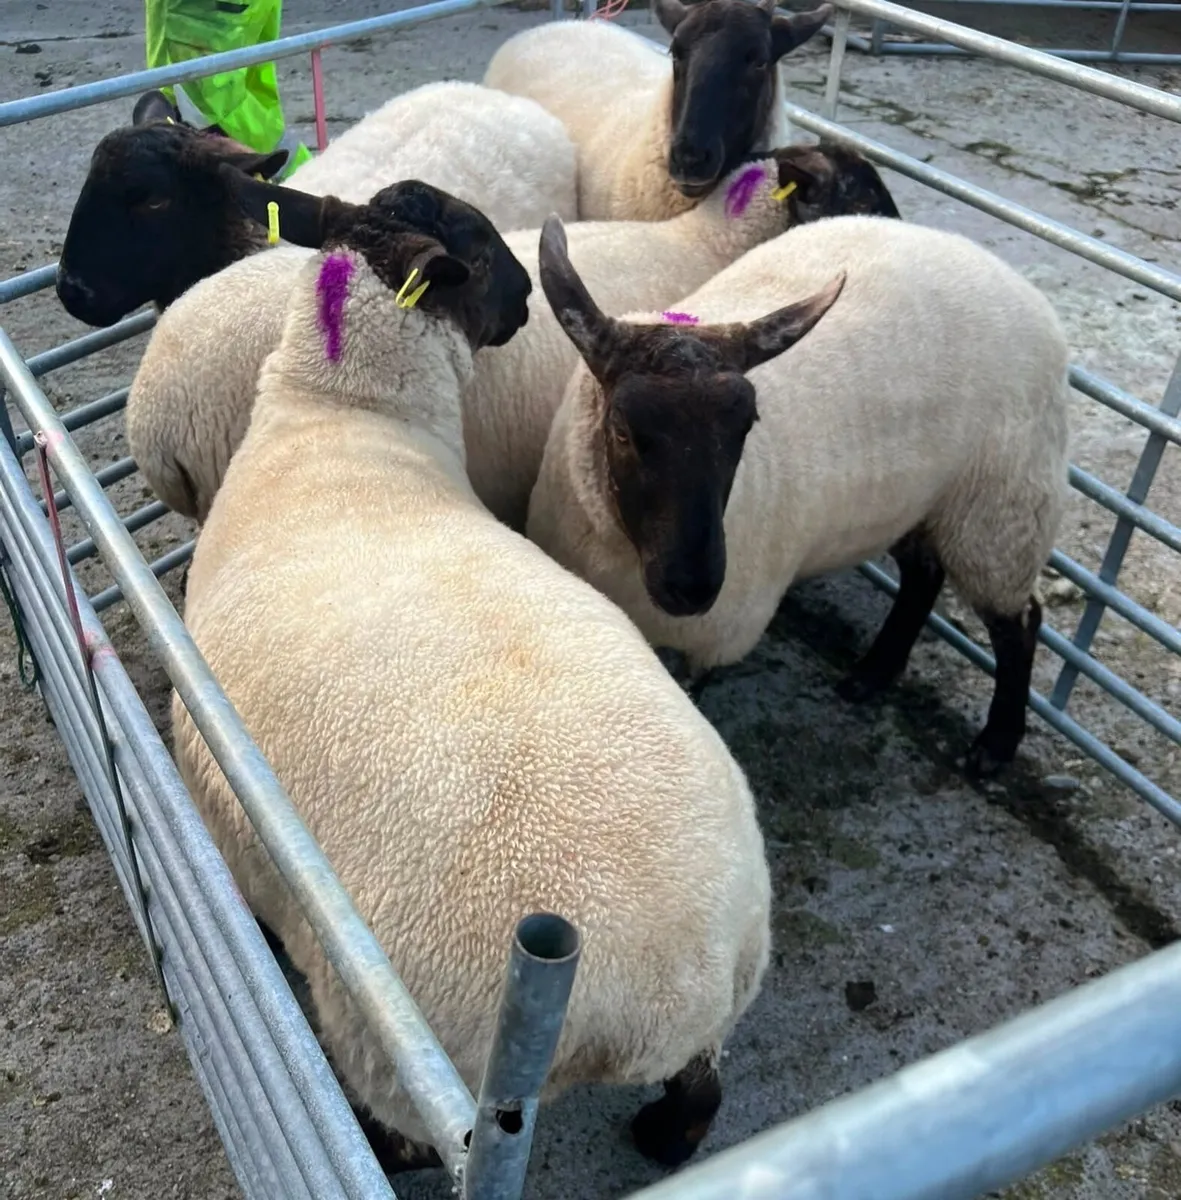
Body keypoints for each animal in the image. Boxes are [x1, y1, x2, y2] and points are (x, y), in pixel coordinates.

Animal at [171, 174, 772, 1171]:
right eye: (485, 248)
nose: (527, 299)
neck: (339, 418)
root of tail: (643, 996)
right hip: (717, 1004)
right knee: (701, 1090)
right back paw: (663, 1135)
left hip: (401, 1058)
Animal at [527, 213, 1071, 777]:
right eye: (622, 430)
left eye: (747, 425)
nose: (694, 587)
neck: (623, 554)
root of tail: (1016, 283)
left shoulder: (717, 638)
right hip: (918, 501)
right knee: (924, 577)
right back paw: (872, 675)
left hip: (1000, 506)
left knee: (1020, 621)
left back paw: (994, 746)